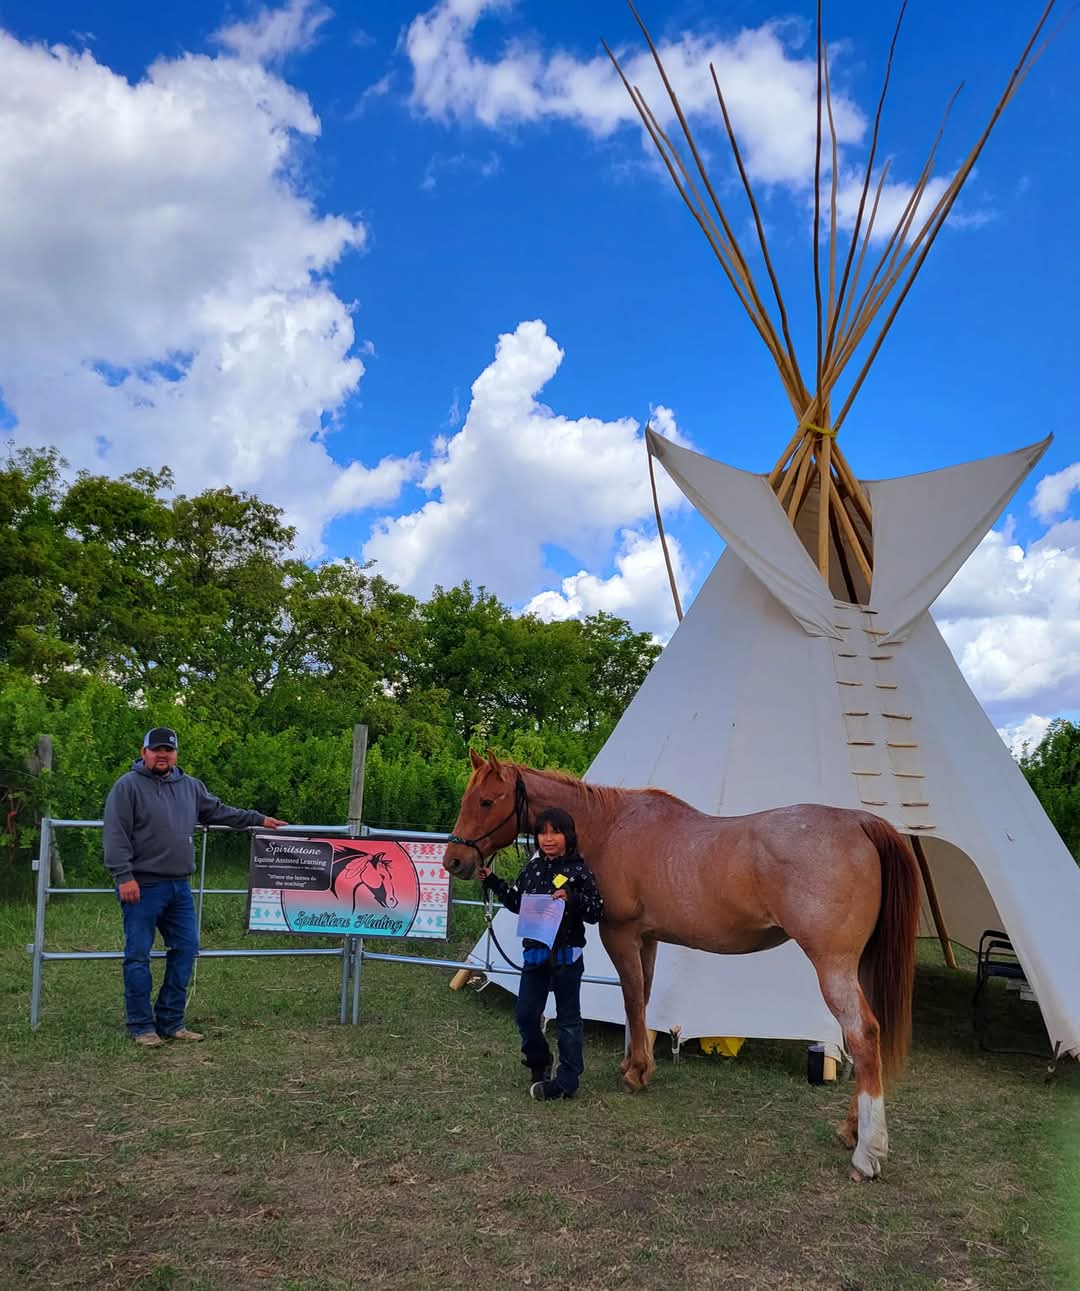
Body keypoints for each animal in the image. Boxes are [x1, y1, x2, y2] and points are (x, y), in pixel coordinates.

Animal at [443, 750, 921, 1182]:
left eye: (487, 800)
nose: (454, 862)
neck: (610, 828)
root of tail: (860, 823)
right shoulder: (648, 938)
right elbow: (643, 998)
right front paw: (635, 1064)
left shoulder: (620, 934)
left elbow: (631, 997)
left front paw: (636, 1073)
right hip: (860, 967)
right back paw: (850, 1130)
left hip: (833, 966)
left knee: (863, 1035)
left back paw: (867, 1153)